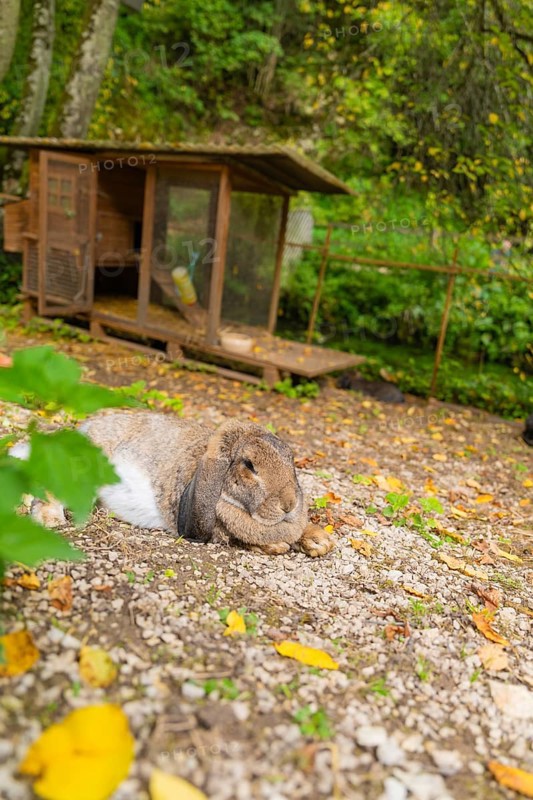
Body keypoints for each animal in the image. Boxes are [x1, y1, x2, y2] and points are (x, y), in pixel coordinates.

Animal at [11, 411, 335, 558]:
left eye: (291, 458)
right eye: (249, 465)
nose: (289, 504)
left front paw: (319, 542)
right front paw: (277, 545)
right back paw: (48, 517)